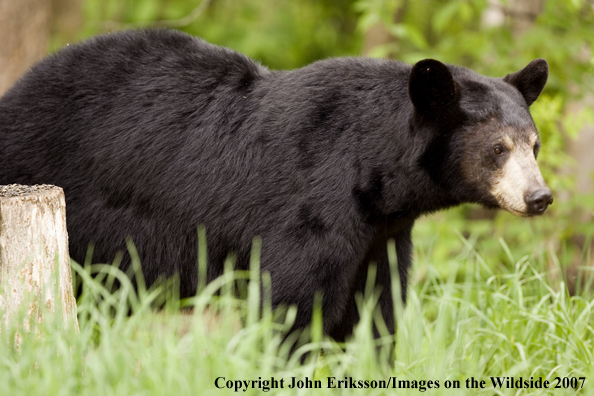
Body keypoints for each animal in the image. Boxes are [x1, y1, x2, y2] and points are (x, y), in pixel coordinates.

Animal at [0, 29, 552, 342]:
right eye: (498, 148)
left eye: (534, 144)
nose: (540, 197)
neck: (375, 180)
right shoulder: (310, 210)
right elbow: (291, 306)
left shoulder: (382, 236)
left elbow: (375, 312)